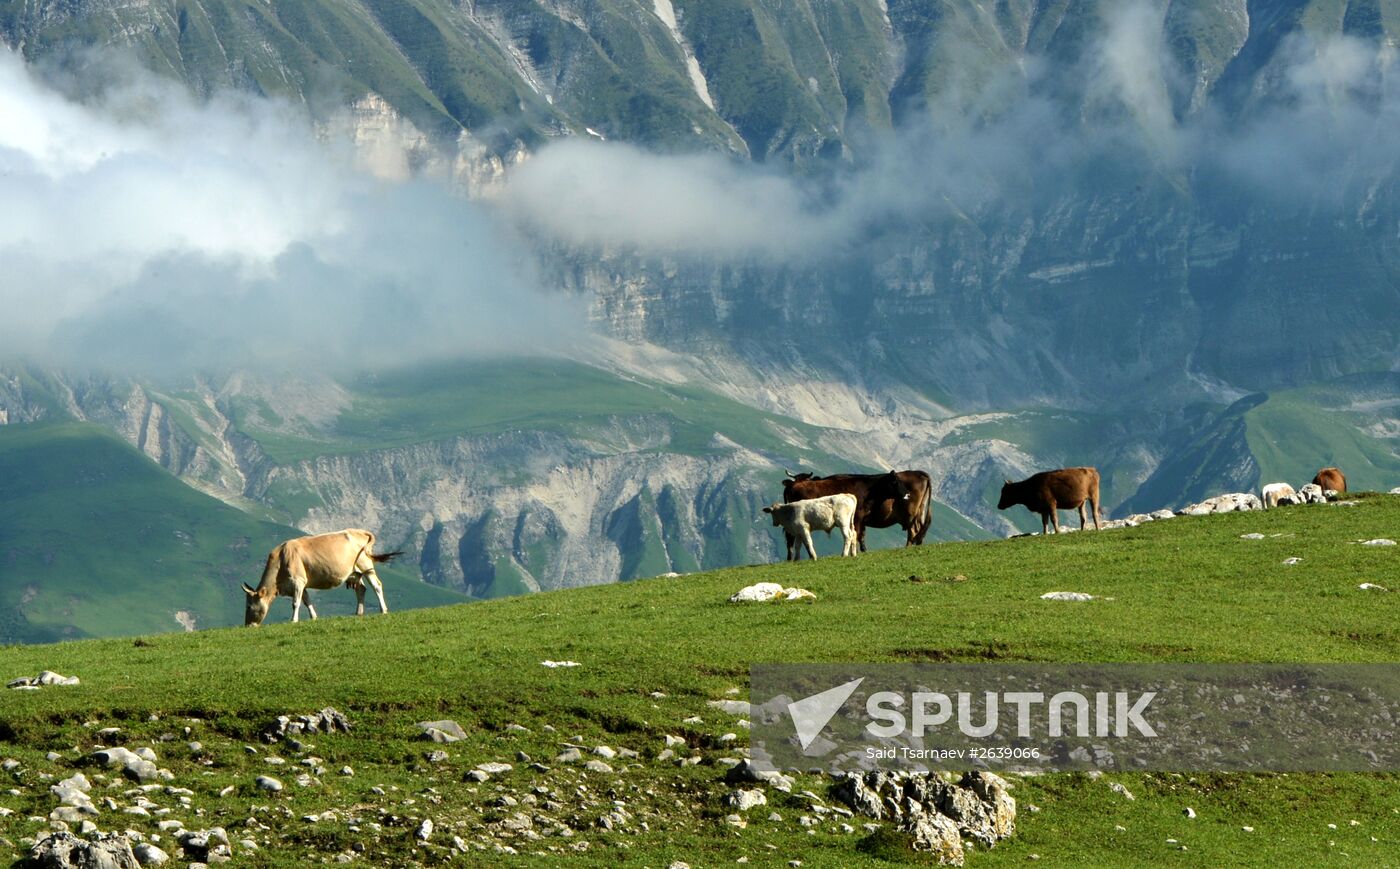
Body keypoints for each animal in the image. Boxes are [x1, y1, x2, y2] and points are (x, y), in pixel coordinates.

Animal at [784, 467, 924, 556]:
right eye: (895, 482)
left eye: (900, 481)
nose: (907, 494)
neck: (868, 490)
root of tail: (792, 486)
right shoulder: (857, 517)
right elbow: (856, 534)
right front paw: (855, 552)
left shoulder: (859, 519)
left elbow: (858, 534)